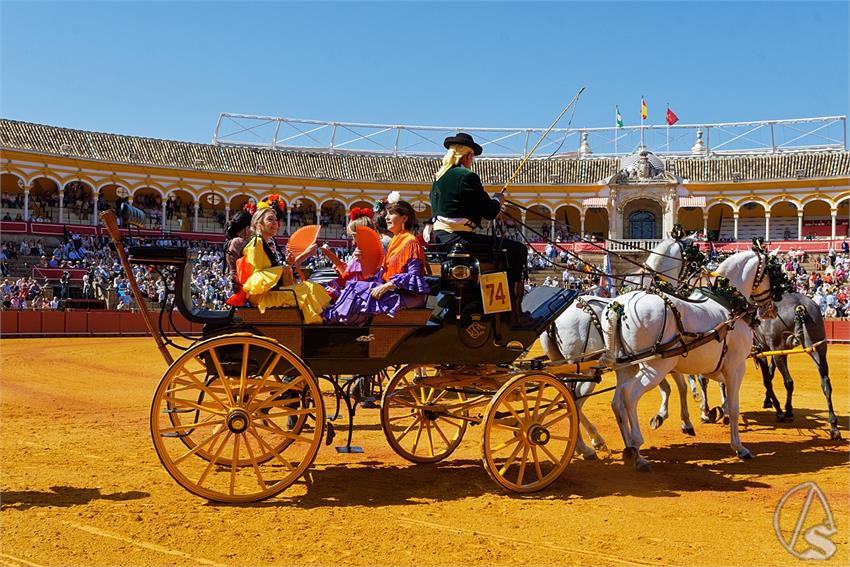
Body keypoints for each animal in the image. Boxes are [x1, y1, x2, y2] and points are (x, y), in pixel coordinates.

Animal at [540, 237, 700, 460]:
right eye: (694, 253)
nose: (695, 280)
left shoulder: (647, 357)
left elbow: (667, 386)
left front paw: (660, 417)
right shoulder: (664, 353)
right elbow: (680, 386)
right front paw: (685, 421)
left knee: (568, 401)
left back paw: (592, 442)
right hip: (584, 370)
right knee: (574, 402)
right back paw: (588, 445)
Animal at [604, 251, 776, 472]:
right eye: (771, 272)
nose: (770, 309)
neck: (728, 301)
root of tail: (622, 305)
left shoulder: (713, 367)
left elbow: (696, 388)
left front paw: (708, 414)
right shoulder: (736, 367)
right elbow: (734, 407)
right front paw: (739, 447)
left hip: (628, 365)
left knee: (617, 402)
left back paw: (631, 450)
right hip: (655, 367)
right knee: (629, 394)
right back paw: (636, 445)